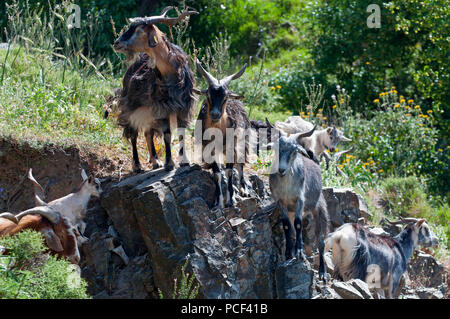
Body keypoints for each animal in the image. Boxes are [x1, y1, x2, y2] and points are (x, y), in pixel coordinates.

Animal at [110, 6, 197, 172]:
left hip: (148, 110)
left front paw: (184, 161)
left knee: (147, 132)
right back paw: (137, 165)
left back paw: (155, 160)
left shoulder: (183, 107)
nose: (116, 43)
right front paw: (170, 163)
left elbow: (181, 134)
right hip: (130, 106)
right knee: (133, 134)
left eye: (139, 30)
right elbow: (167, 134)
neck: (172, 72)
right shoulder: (162, 106)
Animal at [196, 59, 255, 210]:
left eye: (225, 97)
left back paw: (243, 188)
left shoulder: (231, 147)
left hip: (243, 141)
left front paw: (231, 200)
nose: (215, 114)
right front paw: (218, 202)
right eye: (208, 95)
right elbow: (217, 173)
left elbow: (229, 171)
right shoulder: (208, 149)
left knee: (240, 164)